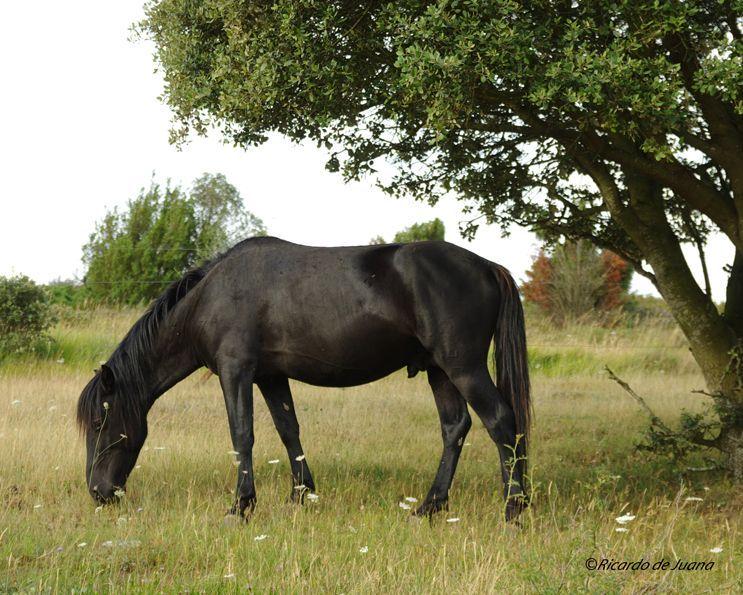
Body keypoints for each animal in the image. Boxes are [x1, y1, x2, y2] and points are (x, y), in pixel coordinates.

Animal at [77, 237, 531, 521]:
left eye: (100, 422)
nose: (98, 492)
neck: (210, 297)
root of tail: (489, 266)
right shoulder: (271, 376)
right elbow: (287, 430)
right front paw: (302, 497)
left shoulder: (236, 370)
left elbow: (242, 435)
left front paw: (240, 507)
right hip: (439, 370)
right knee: (455, 427)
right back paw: (430, 508)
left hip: (462, 366)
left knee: (501, 422)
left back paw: (513, 509)